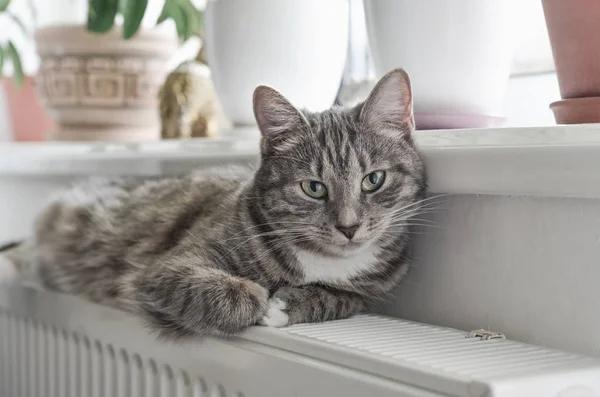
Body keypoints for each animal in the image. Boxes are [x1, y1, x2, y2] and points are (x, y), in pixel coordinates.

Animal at [0, 68, 426, 338]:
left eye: (373, 180)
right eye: (313, 188)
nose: (349, 227)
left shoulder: (372, 288)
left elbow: (343, 297)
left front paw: (288, 304)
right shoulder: (167, 268)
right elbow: (227, 292)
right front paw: (259, 299)